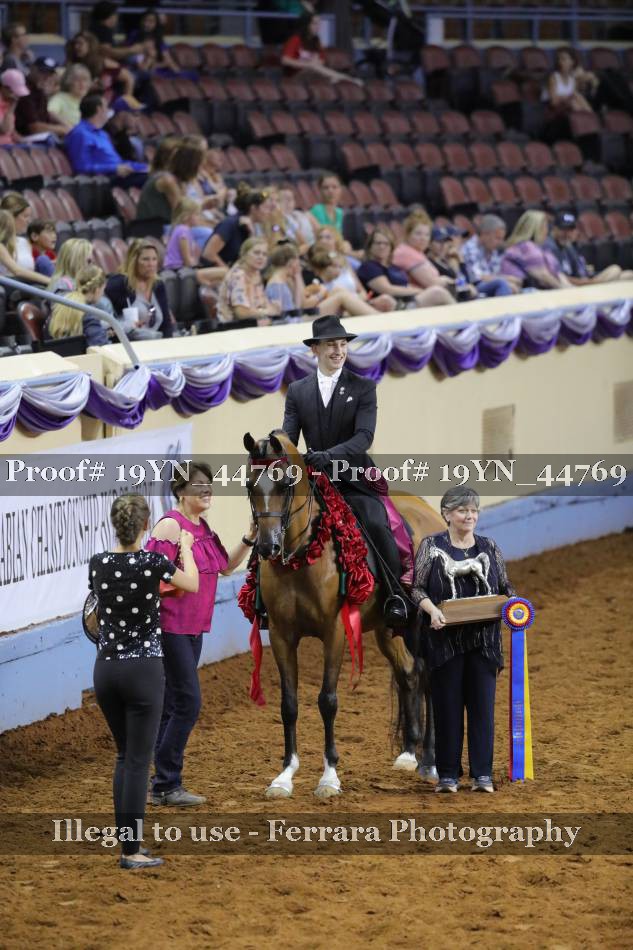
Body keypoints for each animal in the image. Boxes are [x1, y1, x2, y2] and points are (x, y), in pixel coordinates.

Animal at [243, 429, 445, 799]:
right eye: (251, 485)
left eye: (285, 484)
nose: (267, 547)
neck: (302, 557)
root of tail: (429, 512)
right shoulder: (280, 635)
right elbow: (289, 704)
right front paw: (284, 776)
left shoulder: (334, 632)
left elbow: (327, 701)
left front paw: (329, 777)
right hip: (388, 628)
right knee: (410, 673)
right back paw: (410, 753)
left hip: (420, 625)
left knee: (428, 676)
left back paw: (430, 763)